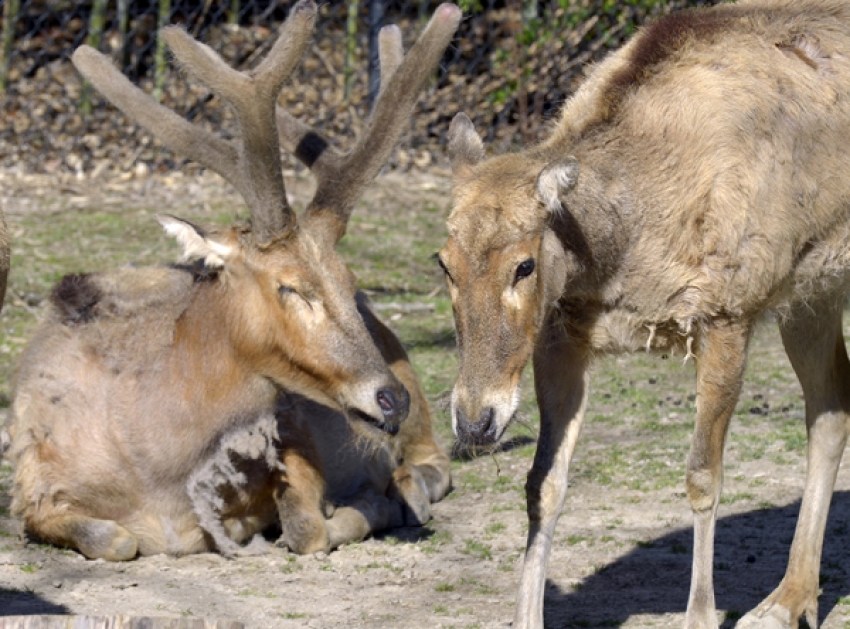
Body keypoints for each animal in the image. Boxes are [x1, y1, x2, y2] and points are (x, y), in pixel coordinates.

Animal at [6, 0, 460, 560]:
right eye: (290, 286)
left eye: (349, 280)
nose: (391, 397)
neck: (158, 472)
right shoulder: (31, 486)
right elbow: (112, 538)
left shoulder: (293, 433)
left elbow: (307, 527)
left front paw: (365, 506)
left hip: (413, 412)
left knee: (435, 463)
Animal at [438, 1, 848, 628]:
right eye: (444, 264)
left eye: (524, 265)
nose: (474, 421)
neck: (615, 255)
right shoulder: (563, 335)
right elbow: (543, 484)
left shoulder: (728, 312)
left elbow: (703, 477)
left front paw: (700, 616)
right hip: (811, 293)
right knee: (830, 407)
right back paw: (785, 601)